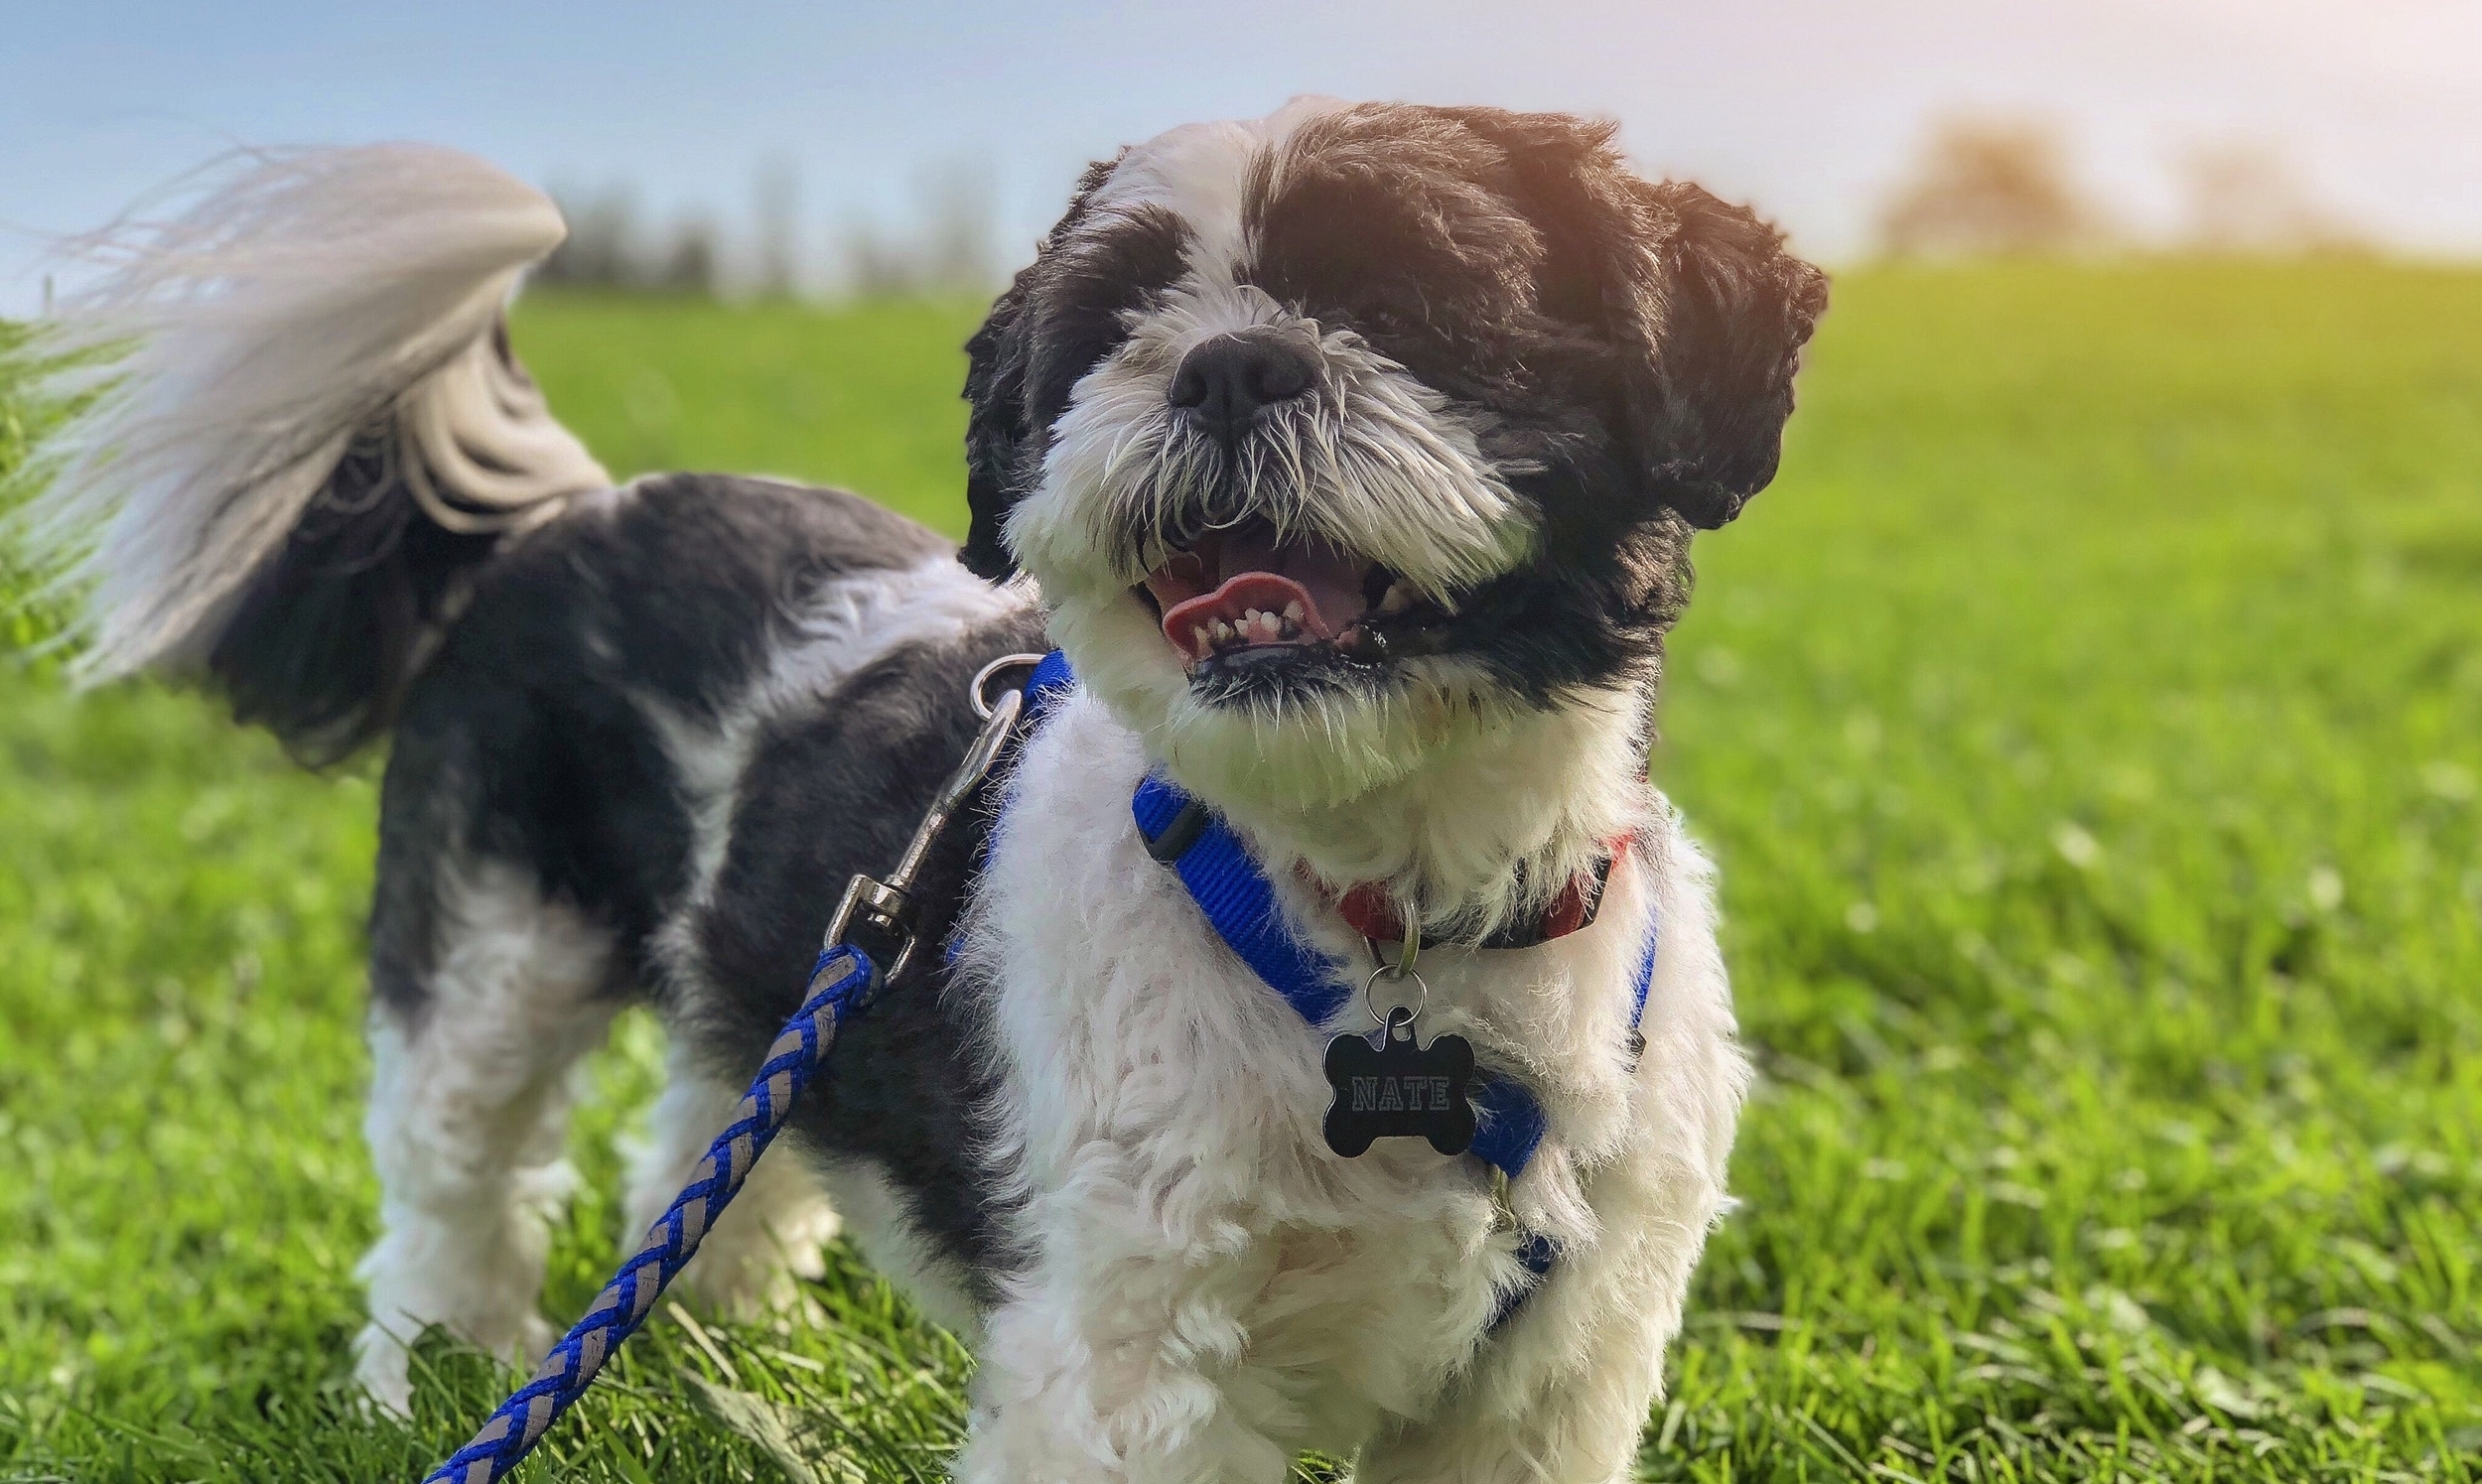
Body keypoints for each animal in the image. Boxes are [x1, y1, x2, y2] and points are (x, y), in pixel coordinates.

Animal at [14, 98, 1827, 1479]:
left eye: (1423, 307)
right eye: (1108, 333)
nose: (1232, 363)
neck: (1390, 937)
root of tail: (568, 516)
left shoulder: (1551, 1371)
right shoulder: (1128, 1355)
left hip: (770, 979)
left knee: (707, 1140)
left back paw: (726, 1339)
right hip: (491, 953)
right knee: (456, 1176)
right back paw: (438, 1370)